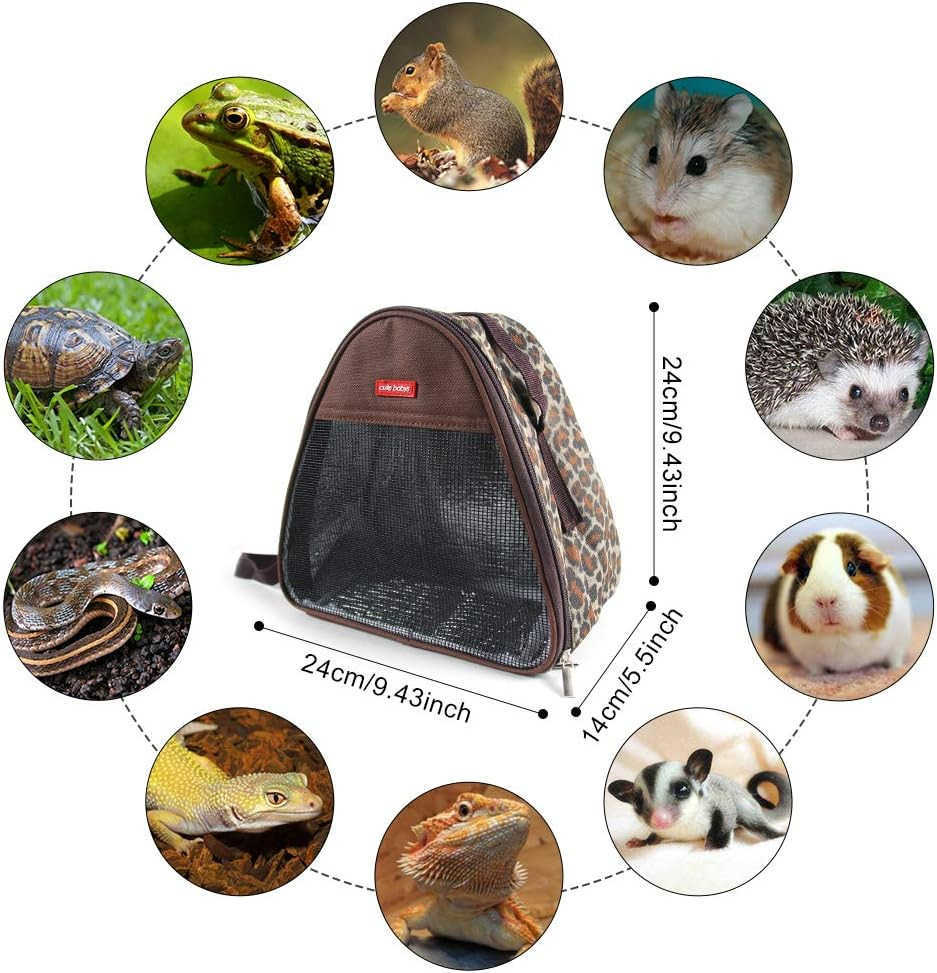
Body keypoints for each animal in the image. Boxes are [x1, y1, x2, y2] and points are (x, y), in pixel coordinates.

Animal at [380, 42, 562, 169]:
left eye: (410, 70)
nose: (394, 86)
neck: (442, 81)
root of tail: (519, 159)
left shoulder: (441, 101)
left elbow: (423, 117)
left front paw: (393, 101)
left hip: (478, 156)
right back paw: (445, 156)